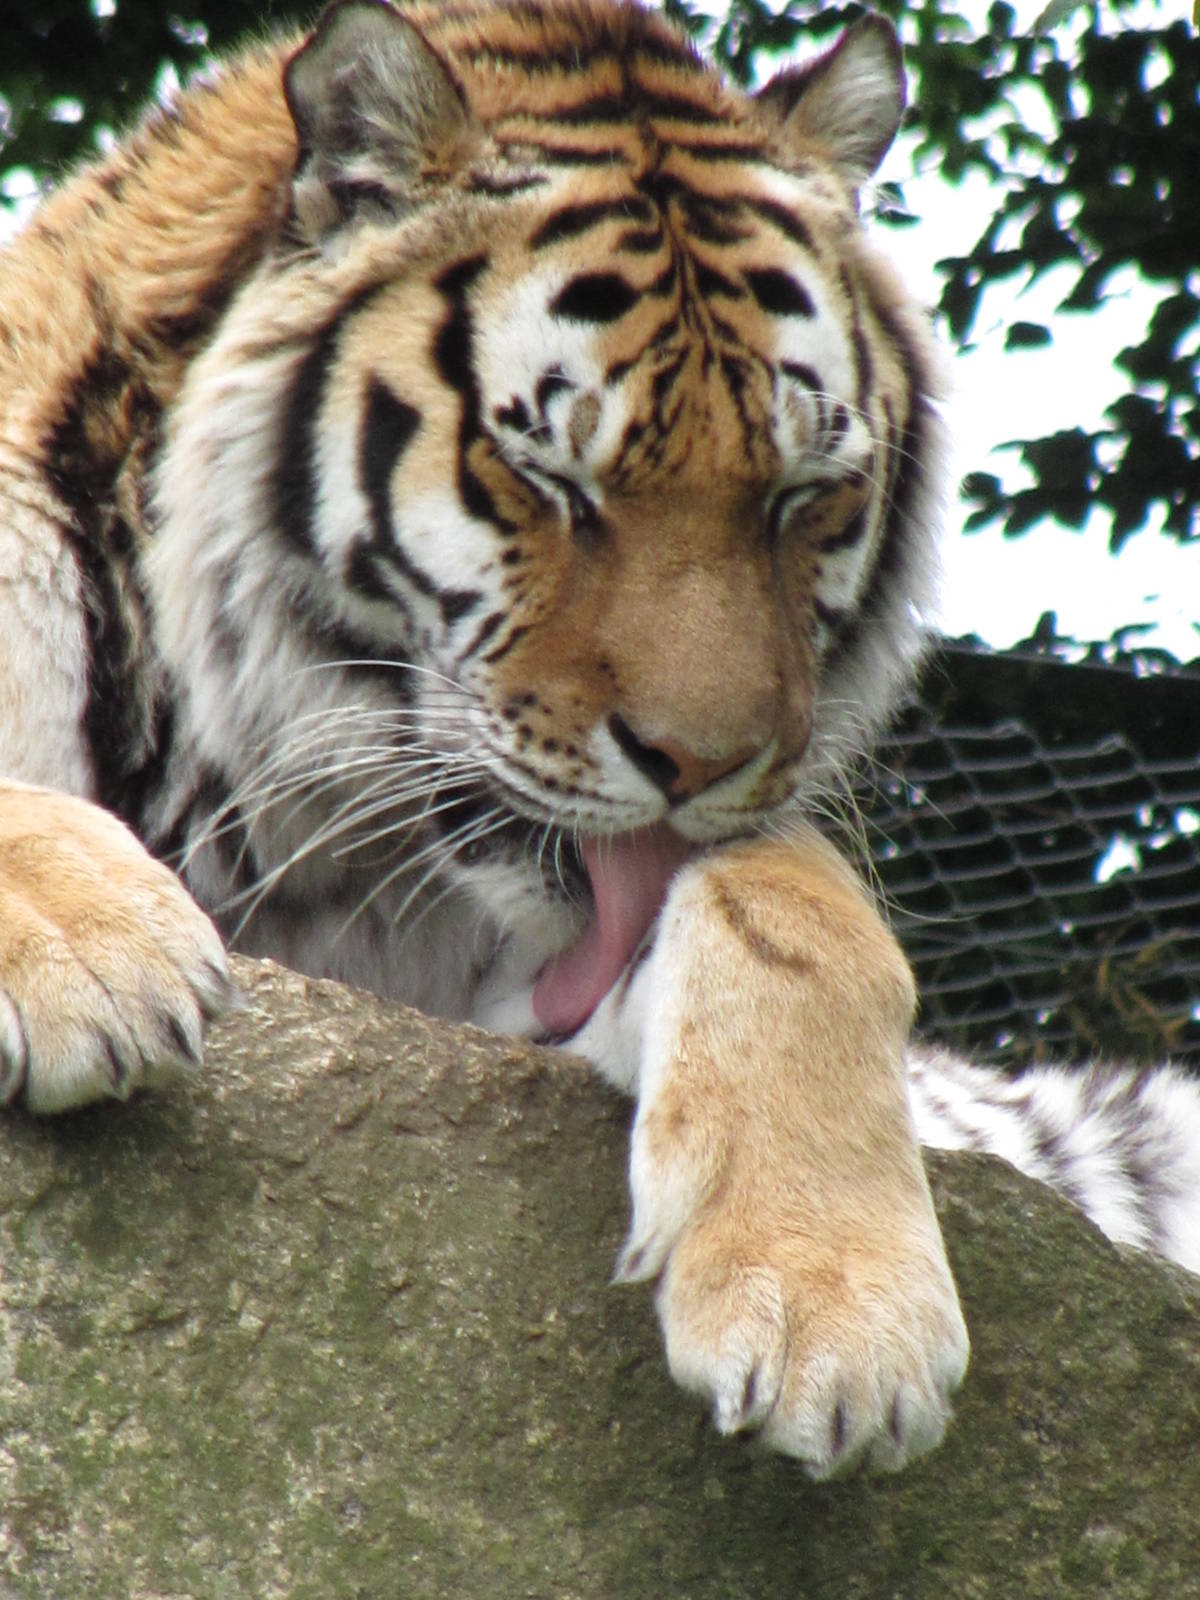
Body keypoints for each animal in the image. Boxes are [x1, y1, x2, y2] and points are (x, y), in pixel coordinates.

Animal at [1, 0, 1196, 1484]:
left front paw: (834, 1307)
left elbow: (801, 904)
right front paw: (94, 958)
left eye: (801, 496)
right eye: (551, 481)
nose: (699, 766)